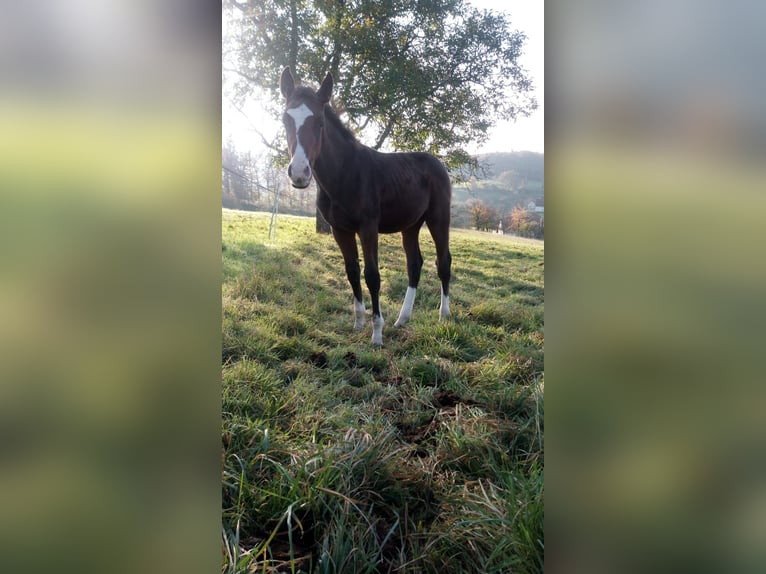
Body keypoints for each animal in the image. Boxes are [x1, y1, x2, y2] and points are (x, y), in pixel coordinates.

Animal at [279, 67, 452, 346]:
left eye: (319, 122)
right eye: (286, 120)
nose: (299, 173)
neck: (345, 174)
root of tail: (435, 162)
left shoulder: (368, 228)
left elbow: (372, 275)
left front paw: (377, 334)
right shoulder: (340, 229)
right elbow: (352, 271)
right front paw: (358, 323)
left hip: (438, 219)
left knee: (443, 261)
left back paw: (444, 314)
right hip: (411, 225)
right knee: (414, 264)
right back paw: (402, 318)